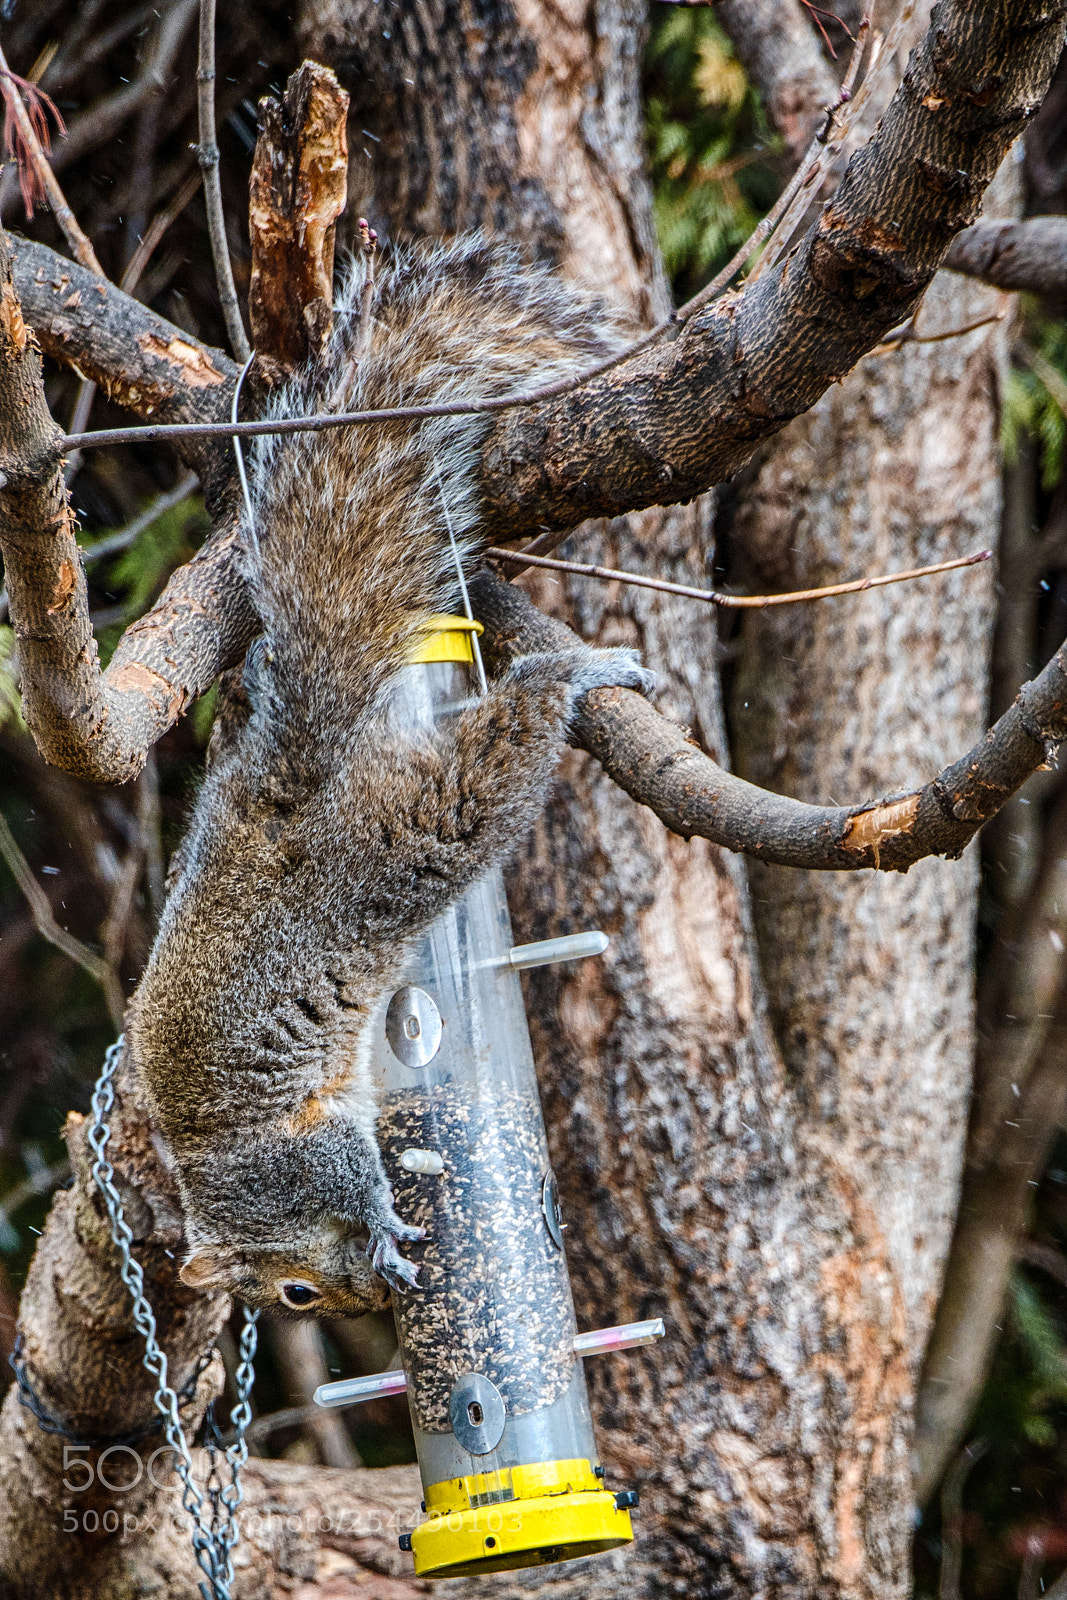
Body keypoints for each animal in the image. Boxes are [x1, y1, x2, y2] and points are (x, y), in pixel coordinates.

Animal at [127, 237, 654, 1317]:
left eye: (291, 1298)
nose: (360, 1308)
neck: (223, 1185)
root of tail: (284, 796)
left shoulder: (293, 1154)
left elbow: (353, 1175)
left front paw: (380, 1228)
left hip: (397, 845)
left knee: (503, 745)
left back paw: (580, 672)